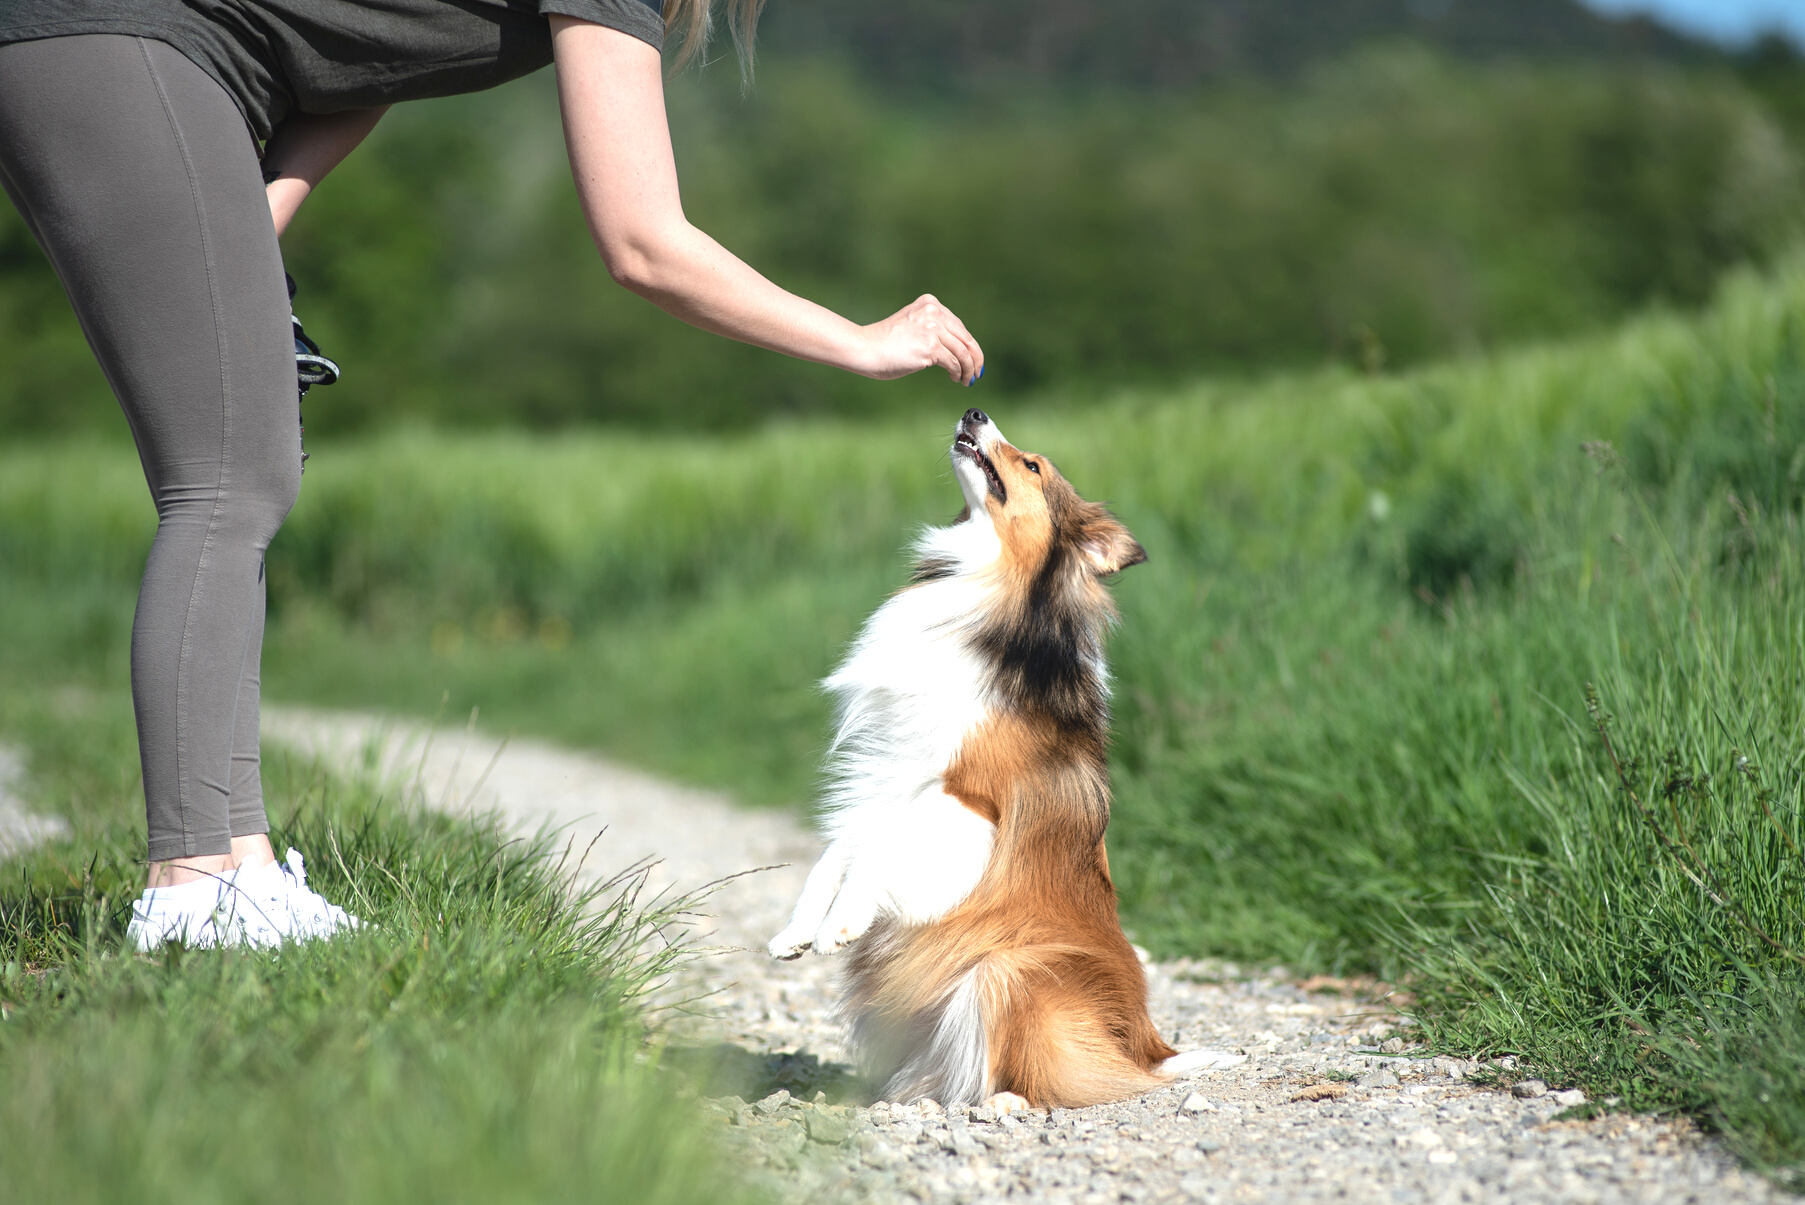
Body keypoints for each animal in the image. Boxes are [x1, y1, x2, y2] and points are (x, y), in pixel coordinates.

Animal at [768, 407, 1234, 1111]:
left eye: (1033, 466)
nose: (974, 411)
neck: (986, 584)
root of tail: (1153, 1049)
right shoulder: (893, 772)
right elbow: (840, 849)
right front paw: (798, 929)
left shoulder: (969, 802)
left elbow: (878, 852)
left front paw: (840, 925)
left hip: (1006, 968)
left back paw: (1002, 1104)